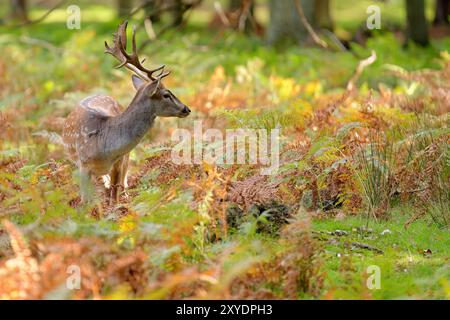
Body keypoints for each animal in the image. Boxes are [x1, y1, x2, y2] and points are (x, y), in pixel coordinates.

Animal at [62, 20, 190, 205]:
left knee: (122, 184)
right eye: (166, 95)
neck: (104, 146)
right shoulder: (83, 165)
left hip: (126, 158)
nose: (186, 108)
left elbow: (114, 197)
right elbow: (86, 201)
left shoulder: (119, 161)